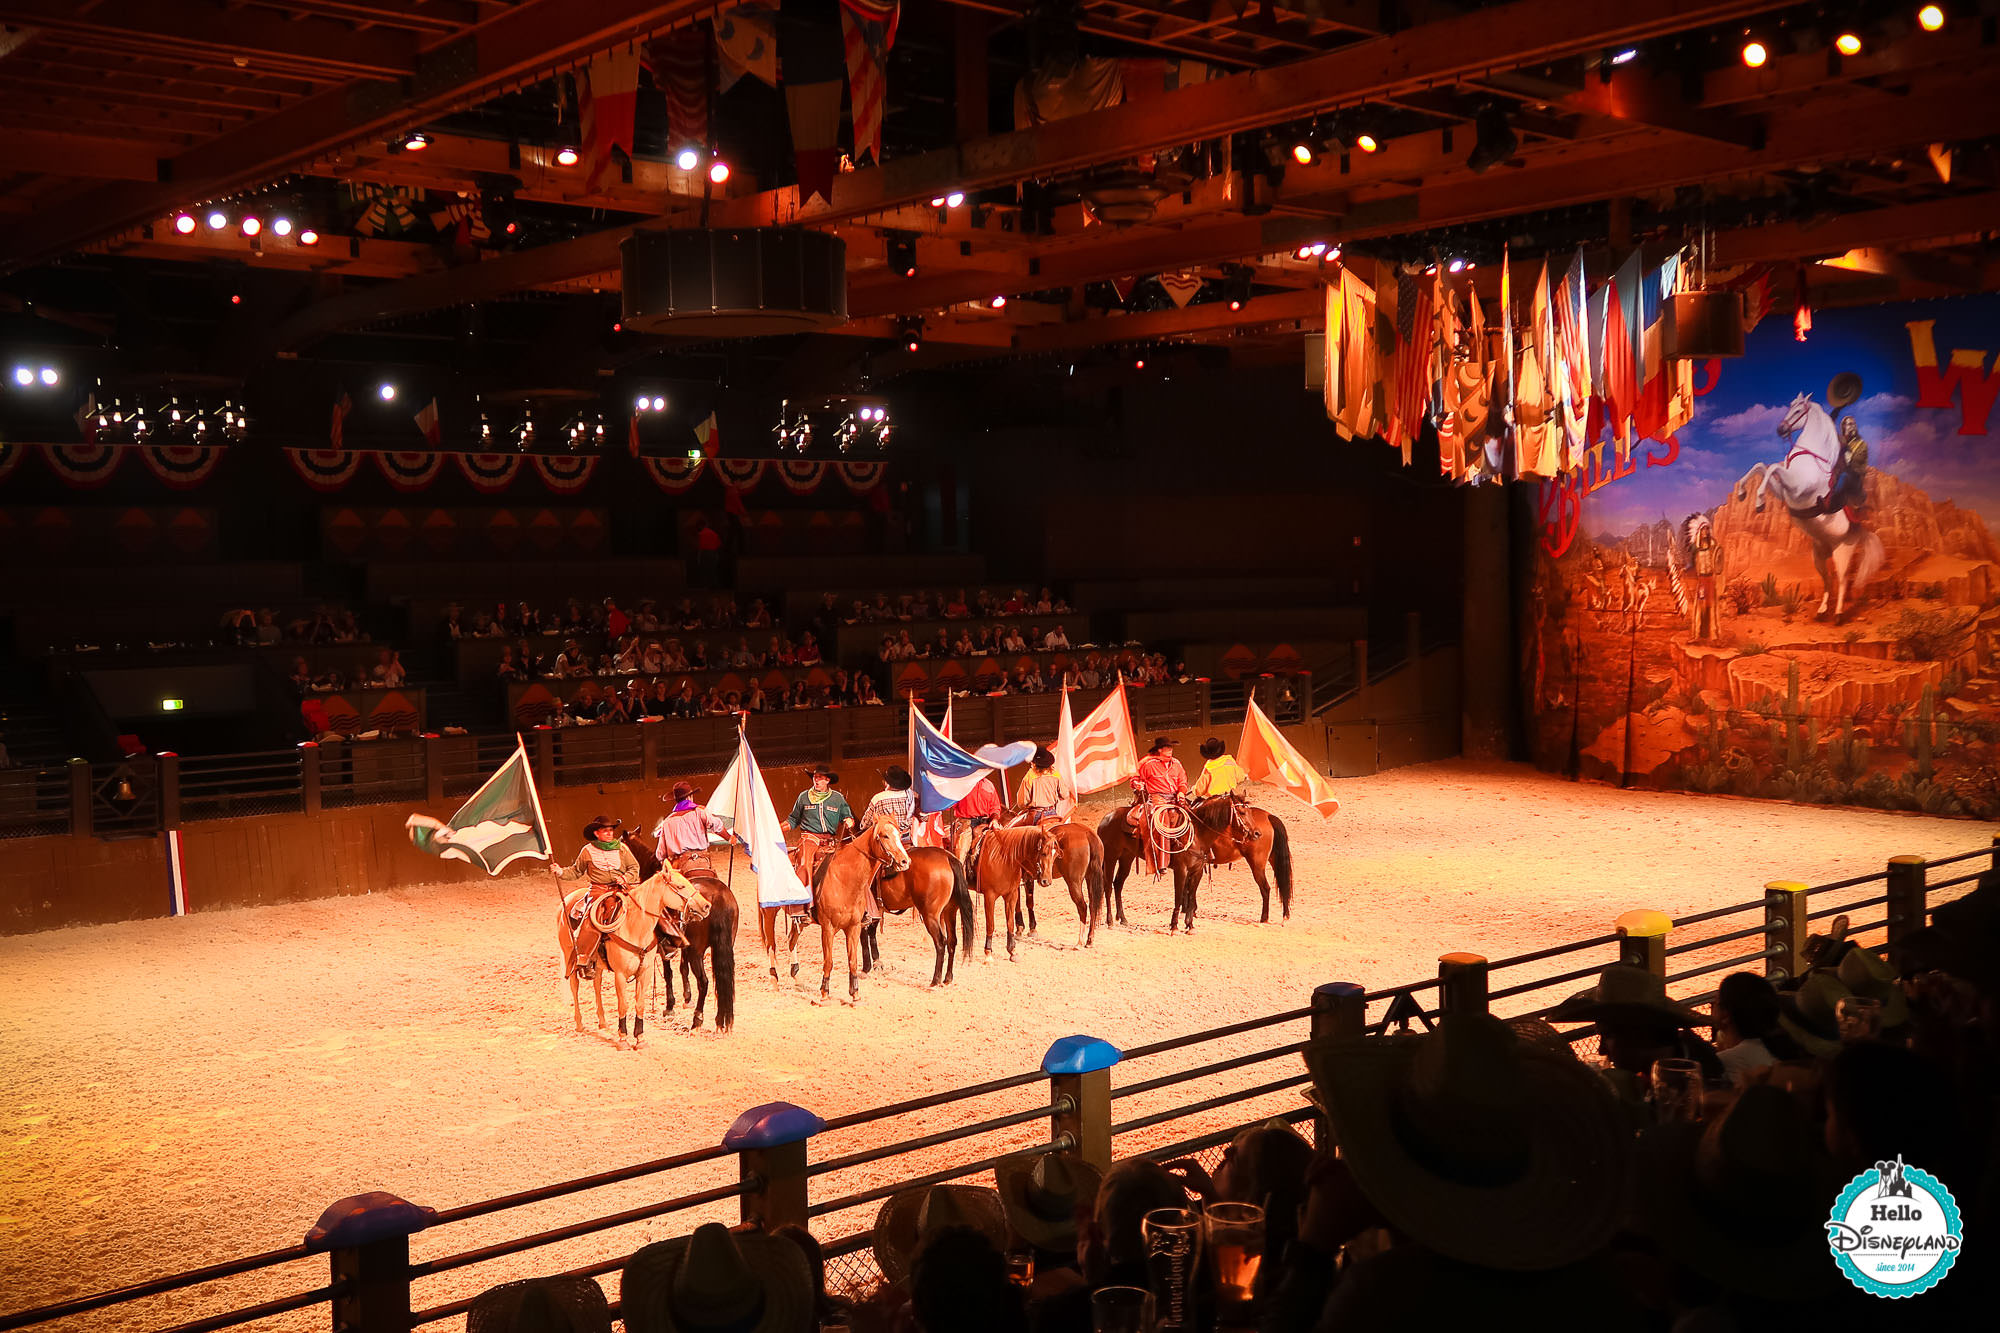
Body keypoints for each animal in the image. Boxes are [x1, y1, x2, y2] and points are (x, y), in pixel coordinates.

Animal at [620, 824, 740, 1032]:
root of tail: (718, 896)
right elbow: (683, 968)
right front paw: (686, 997)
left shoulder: (663, 947)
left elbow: (669, 973)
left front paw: (670, 1006)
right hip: (722, 946)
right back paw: (720, 1020)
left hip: (697, 952)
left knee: (704, 982)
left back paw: (697, 1020)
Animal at [808, 820, 912, 996]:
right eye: (885, 835)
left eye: (898, 834)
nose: (905, 861)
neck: (843, 879)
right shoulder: (828, 927)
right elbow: (830, 960)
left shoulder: (856, 923)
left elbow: (854, 956)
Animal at [968, 820, 1064, 956]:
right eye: (1043, 853)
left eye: (1055, 855)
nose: (1046, 881)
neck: (1003, 859)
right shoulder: (989, 896)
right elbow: (990, 924)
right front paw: (988, 951)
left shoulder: (1011, 894)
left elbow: (1010, 922)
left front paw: (1012, 949)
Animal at [1760, 390, 1880, 624]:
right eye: (1790, 406)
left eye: (1798, 409)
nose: (1781, 429)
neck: (1809, 457)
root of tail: (1859, 530)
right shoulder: (1784, 492)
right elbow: (1761, 467)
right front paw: (1746, 494)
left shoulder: (1796, 487)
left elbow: (1772, 468)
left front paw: (1758, 499)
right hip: (1819, 555)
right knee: (1827, 579)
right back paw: (1822, 611)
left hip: (1842, 553)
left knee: (1842, 580)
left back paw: (1839, 615)